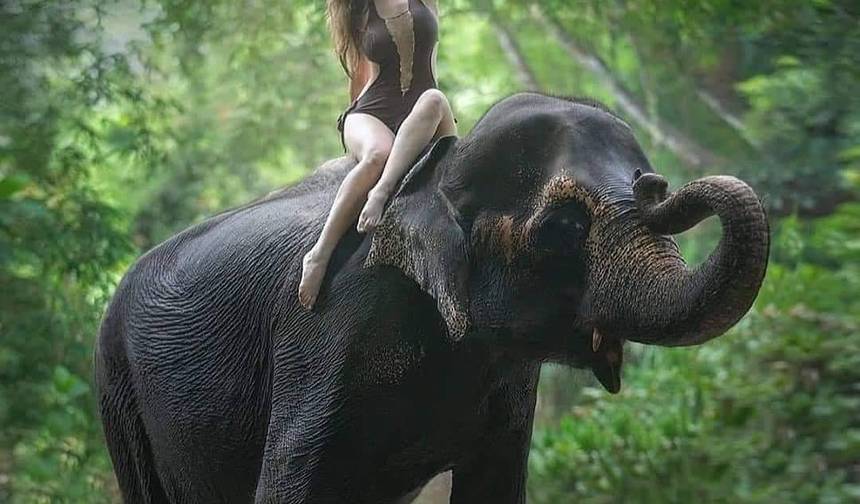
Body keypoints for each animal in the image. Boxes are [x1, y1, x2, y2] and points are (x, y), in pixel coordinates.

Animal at [94, 92, 769, 503]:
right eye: (562, 228)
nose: (654, 184)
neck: (437, 173)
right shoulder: (328, 333)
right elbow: (290, 485)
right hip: (118, 389)